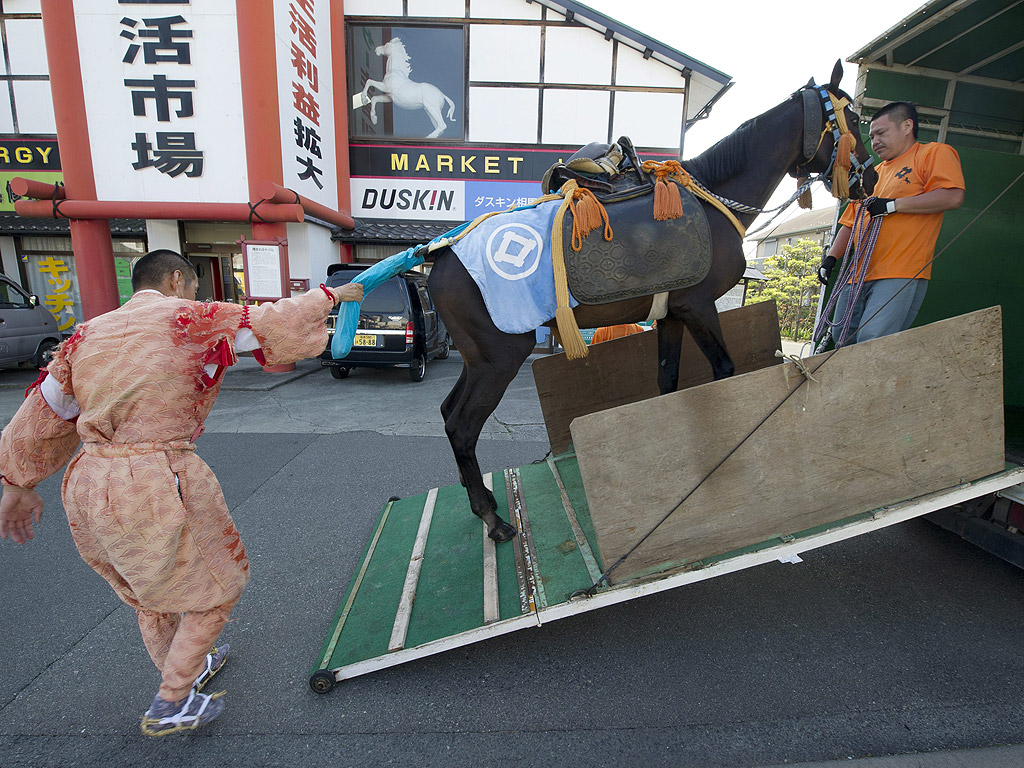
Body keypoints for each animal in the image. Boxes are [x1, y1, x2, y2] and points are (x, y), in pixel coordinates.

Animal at [428, 60, 876, 544]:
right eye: (853, 120)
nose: (870, 178)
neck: (711, 198)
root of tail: (440, 258)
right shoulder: (698, 307)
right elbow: (723, 370)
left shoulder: (673, 316)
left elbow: (668, 381)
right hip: (501, 356)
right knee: (462, 426)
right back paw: (491, 518)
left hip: (479, 358)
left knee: (448, 414)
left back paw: (483, 503)